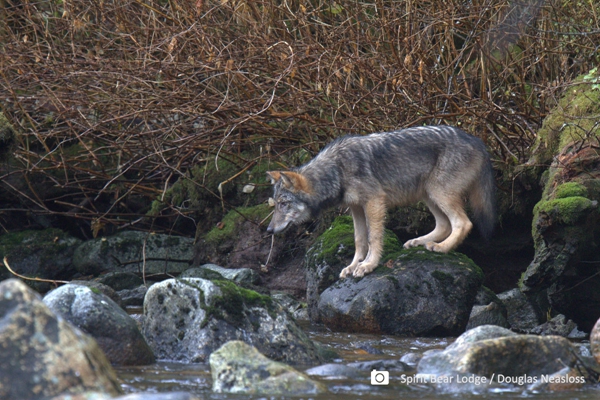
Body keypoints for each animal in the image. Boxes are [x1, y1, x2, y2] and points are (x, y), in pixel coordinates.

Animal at [264, 125, 494, 278]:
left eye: (284, 204)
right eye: (276, 204)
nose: (269, 230)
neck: (337, 170)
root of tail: (477, 141)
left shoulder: (374, 202)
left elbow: (373, 237)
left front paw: (368, 265)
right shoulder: (356, 207)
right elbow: (359, 239)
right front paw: (353, 266)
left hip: (439, 194)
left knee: (463, 223)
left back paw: (442, 248)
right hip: (428, 195)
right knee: (444, 224)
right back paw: (420, 242)